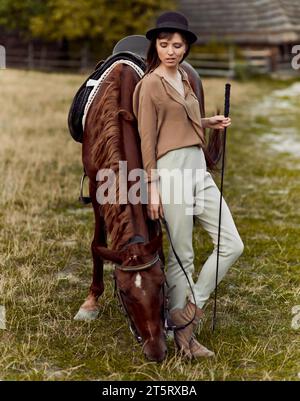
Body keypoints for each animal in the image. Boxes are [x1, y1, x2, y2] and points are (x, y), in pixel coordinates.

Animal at [73, 53, 221, 362]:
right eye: (124, 292)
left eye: (161, 283)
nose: (156, 351)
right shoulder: (95, 188)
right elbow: (97, 243)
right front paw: (91, 301)